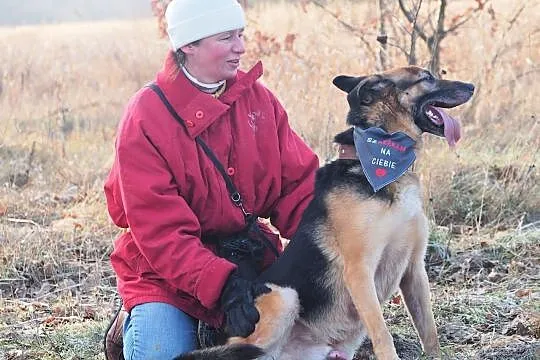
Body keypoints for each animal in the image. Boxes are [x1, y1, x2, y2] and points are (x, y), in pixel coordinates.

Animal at [176, 66, 472, 358]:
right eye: (427, 77)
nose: (472, 86)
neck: (383, 159)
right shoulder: (360, 271)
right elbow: (383, 335)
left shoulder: (414, 270)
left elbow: (429, 332)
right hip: (284, 298)